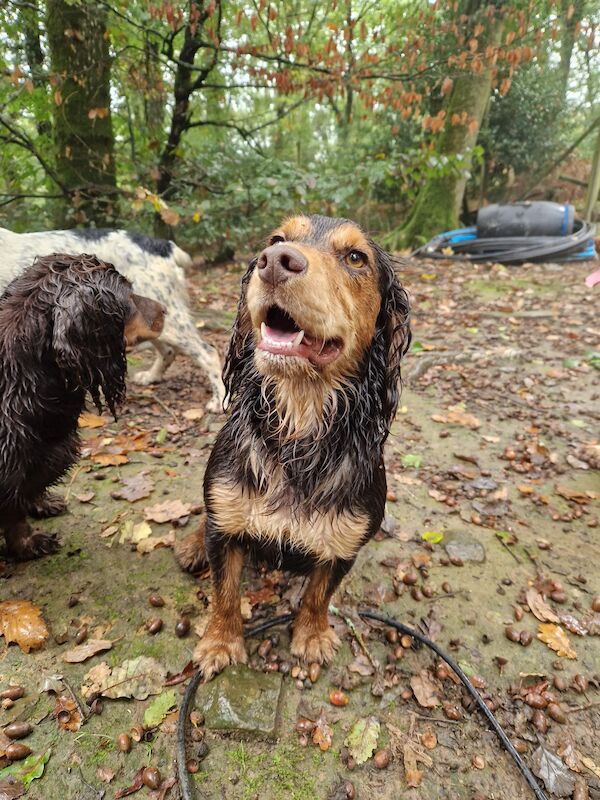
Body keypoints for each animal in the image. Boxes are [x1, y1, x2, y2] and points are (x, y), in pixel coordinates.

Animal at [177, 216, 412, 680]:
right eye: (276, 239)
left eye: (356, 257)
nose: (274, 262)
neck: (299, 427)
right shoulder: (227, 525)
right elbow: (225, 592)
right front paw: (219, 643)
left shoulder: (345, 542)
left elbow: (319, 594)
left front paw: (313, 635)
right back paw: (193, 544)